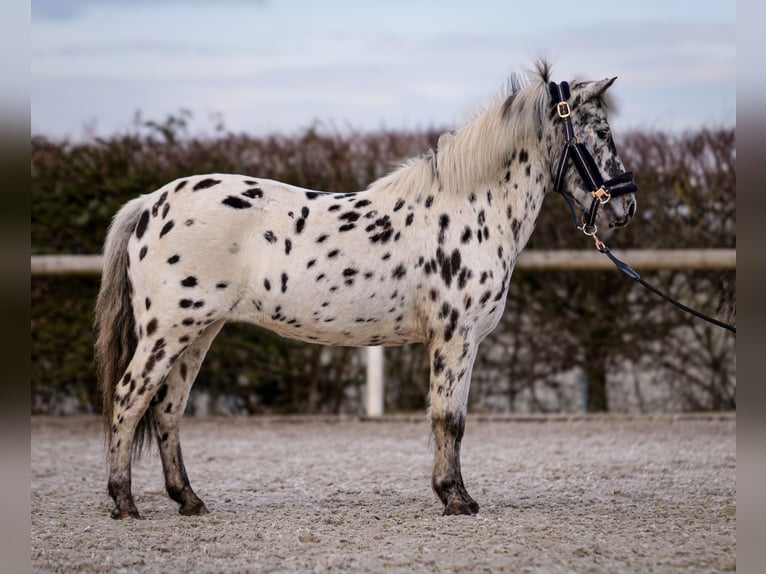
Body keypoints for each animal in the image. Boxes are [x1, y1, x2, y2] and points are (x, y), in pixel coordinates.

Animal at [96, 60, 640, 520]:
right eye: (604, 132)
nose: (627, 206)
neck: (469, 209)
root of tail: (150, 204)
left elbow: (453, 418)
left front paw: (454, 494)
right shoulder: (455, 337)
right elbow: (449, 417)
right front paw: (456, 499)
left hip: (199, 333)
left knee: (167, 410)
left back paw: (188, 500)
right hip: (168, 331)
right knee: (129, 399)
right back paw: (125, 504)